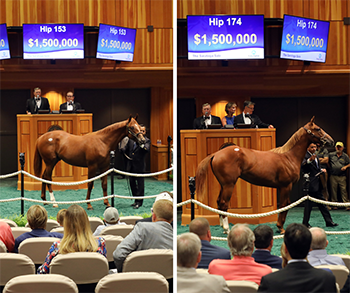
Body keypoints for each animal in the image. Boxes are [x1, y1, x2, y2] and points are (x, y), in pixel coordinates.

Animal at [197, 116, 334, 233]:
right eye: (318, 129)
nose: (331, 141)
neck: (288, 157)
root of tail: (216, 153)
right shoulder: (286, 186)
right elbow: (285, 205)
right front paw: (280, 228)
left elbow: (285, 205)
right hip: (229, 185)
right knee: (223, 203)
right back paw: (226, 228)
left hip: (223, 185)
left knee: (218, 202)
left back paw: (222, 226)